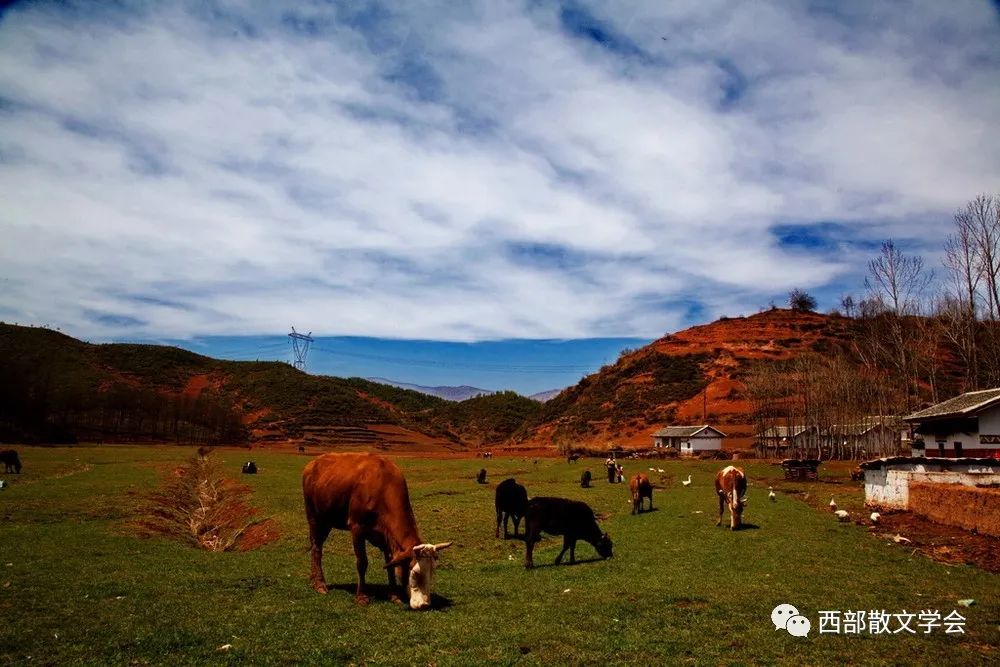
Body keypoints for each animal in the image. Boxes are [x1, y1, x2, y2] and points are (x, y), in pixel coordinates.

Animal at [298, 454, 452, 612]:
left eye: (432, 571)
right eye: (415, 572)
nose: (425, 605)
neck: (383, 487)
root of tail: (313, 463)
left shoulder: (386, 537)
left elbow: (390, 564)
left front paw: (394, 595)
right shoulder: (357, 528)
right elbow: (362, 562)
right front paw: (361, 596)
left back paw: (313, 580)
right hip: (315, 519)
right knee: (317, 549)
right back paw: (320, 584)